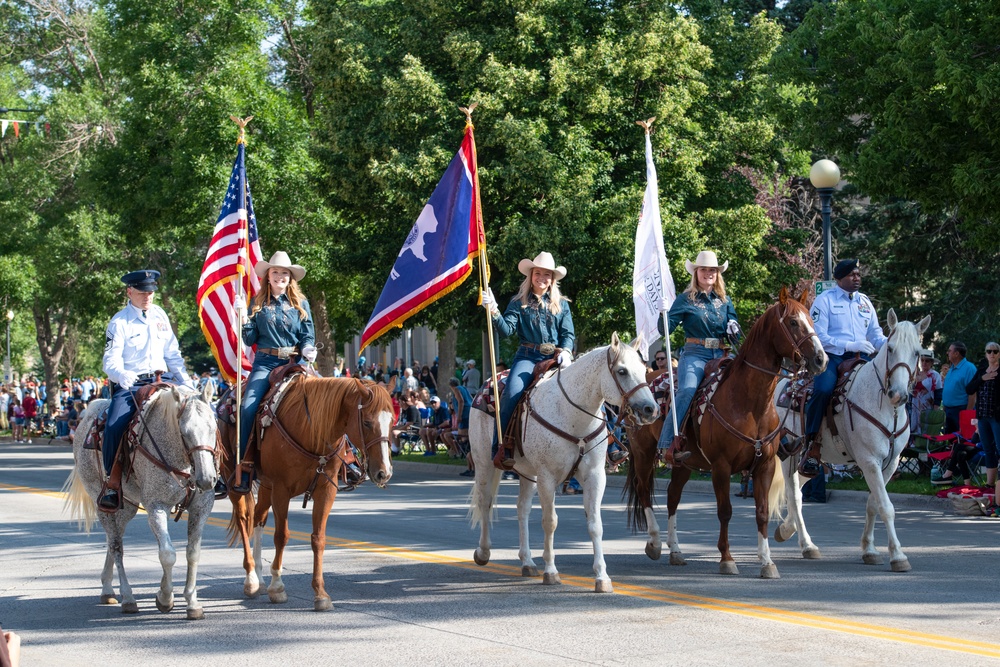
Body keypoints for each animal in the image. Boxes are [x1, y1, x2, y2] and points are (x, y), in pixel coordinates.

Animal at [63, 386, 220, 620]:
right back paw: (127, 598)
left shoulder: (201, 507)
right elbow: (167, 554)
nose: (207, 479)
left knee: (113, 541)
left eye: (213, 427)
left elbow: (192, 553)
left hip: (126, 507)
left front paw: (192, 602)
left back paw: (107, 589)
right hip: (102, 504)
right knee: (116, 547)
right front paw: (165, 598)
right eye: (184, 432)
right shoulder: (156, 505)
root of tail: (91, 410)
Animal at [224, 376, 394, 612]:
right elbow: (281, 536)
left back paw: (259, 576)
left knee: (258, 518)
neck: (311, 430)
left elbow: (318, 539)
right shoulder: (281, 489)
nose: (384, 473)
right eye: (367, 422)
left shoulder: (326, 490)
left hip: (266, 486)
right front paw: (277, 587)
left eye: (393, 421)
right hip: (235, 480)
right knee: (243, 519)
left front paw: (320, 594)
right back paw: (251, 580)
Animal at [470, 336, 660, 592]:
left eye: (644, 369)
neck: (573, 416)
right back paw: (483, 552)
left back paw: (527, 562)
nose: (651, 410)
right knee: (485, 502)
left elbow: (595, 524)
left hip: (528, 474)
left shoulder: (594, 476)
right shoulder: (547, 477)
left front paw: (602, 577)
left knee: (522, 509)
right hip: (484, 464)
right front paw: (551, 571)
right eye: (622, 371)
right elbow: (550, 522)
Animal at [624, 288, 828, 580]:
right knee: (644, 491)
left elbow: (762, 512)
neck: (749, 403)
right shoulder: (721, 467)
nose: (821, 359)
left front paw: (767, 562)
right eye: (792, 322)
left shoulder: (765, 465)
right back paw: (654, 543)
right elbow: (725, 511)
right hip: (643, 452)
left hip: (684, 462)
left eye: (811, 319)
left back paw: (676, 551)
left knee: (673, 497)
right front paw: (727, 559)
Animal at [772, 310, 928, 572]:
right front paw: (897, 556)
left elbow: (873, 504)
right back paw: (807, 545)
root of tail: (783, 384)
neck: (886, 408)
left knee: (799, 493)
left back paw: (786, 529)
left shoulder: (891, 463)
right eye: (891, 349)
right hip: (789, 456)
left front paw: (869, 550)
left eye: (917, 352)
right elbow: (886, 507)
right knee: (794, 495)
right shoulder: (869, 461)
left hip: (808, 461)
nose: (898, 394)